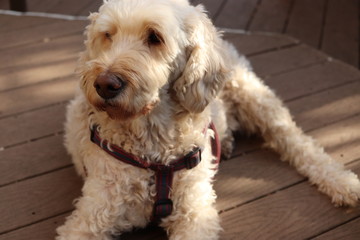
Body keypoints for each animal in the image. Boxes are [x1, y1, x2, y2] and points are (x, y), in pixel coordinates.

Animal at [55, 0, 360, 240]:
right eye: (107, 35)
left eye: (154, 37)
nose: (104, 84)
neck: (152, 148)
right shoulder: (91, 215)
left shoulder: (195, 213)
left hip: (255, 96)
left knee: (299, 143)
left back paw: (344, 184)